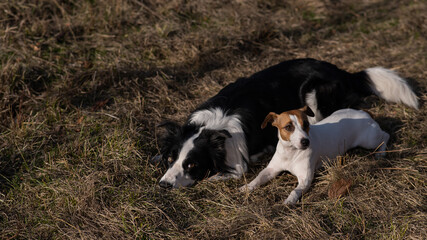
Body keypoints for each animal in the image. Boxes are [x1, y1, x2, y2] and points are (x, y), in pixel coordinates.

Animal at [241, 107, 392, 204]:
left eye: (306, 124)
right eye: (288, 127)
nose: (305, 141)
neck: (291, 153)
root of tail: (364, 113)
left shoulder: (305, 179)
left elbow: (295, 191)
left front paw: (289, 200)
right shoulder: (271, 169)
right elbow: (259, 177)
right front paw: (247, 187)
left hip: (369, 140)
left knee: (385, 135)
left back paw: (381, 153)